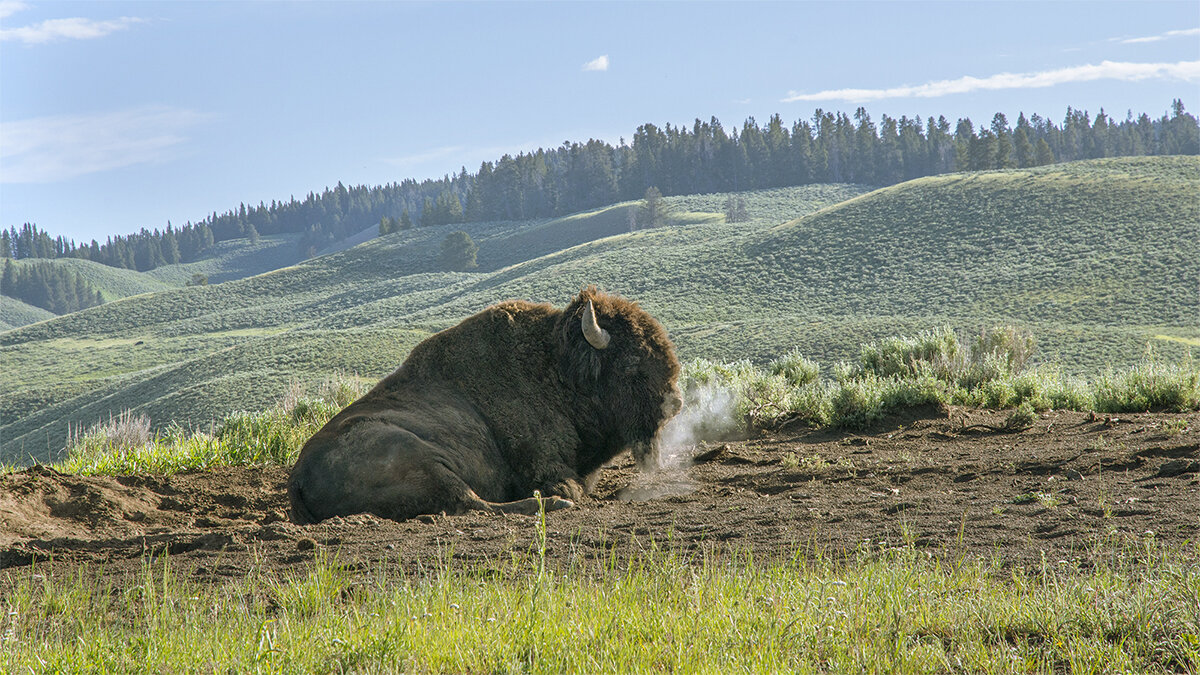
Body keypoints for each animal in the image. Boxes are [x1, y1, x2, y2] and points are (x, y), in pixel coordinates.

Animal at [288, 285, 686, 523]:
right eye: (632, 362)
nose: (676, 403)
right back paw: (554, 505)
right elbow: (564, 484)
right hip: (419, 458)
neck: (557, 367)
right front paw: (565, 497)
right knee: (470, 502)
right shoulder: (545, 465)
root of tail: (297, 475)